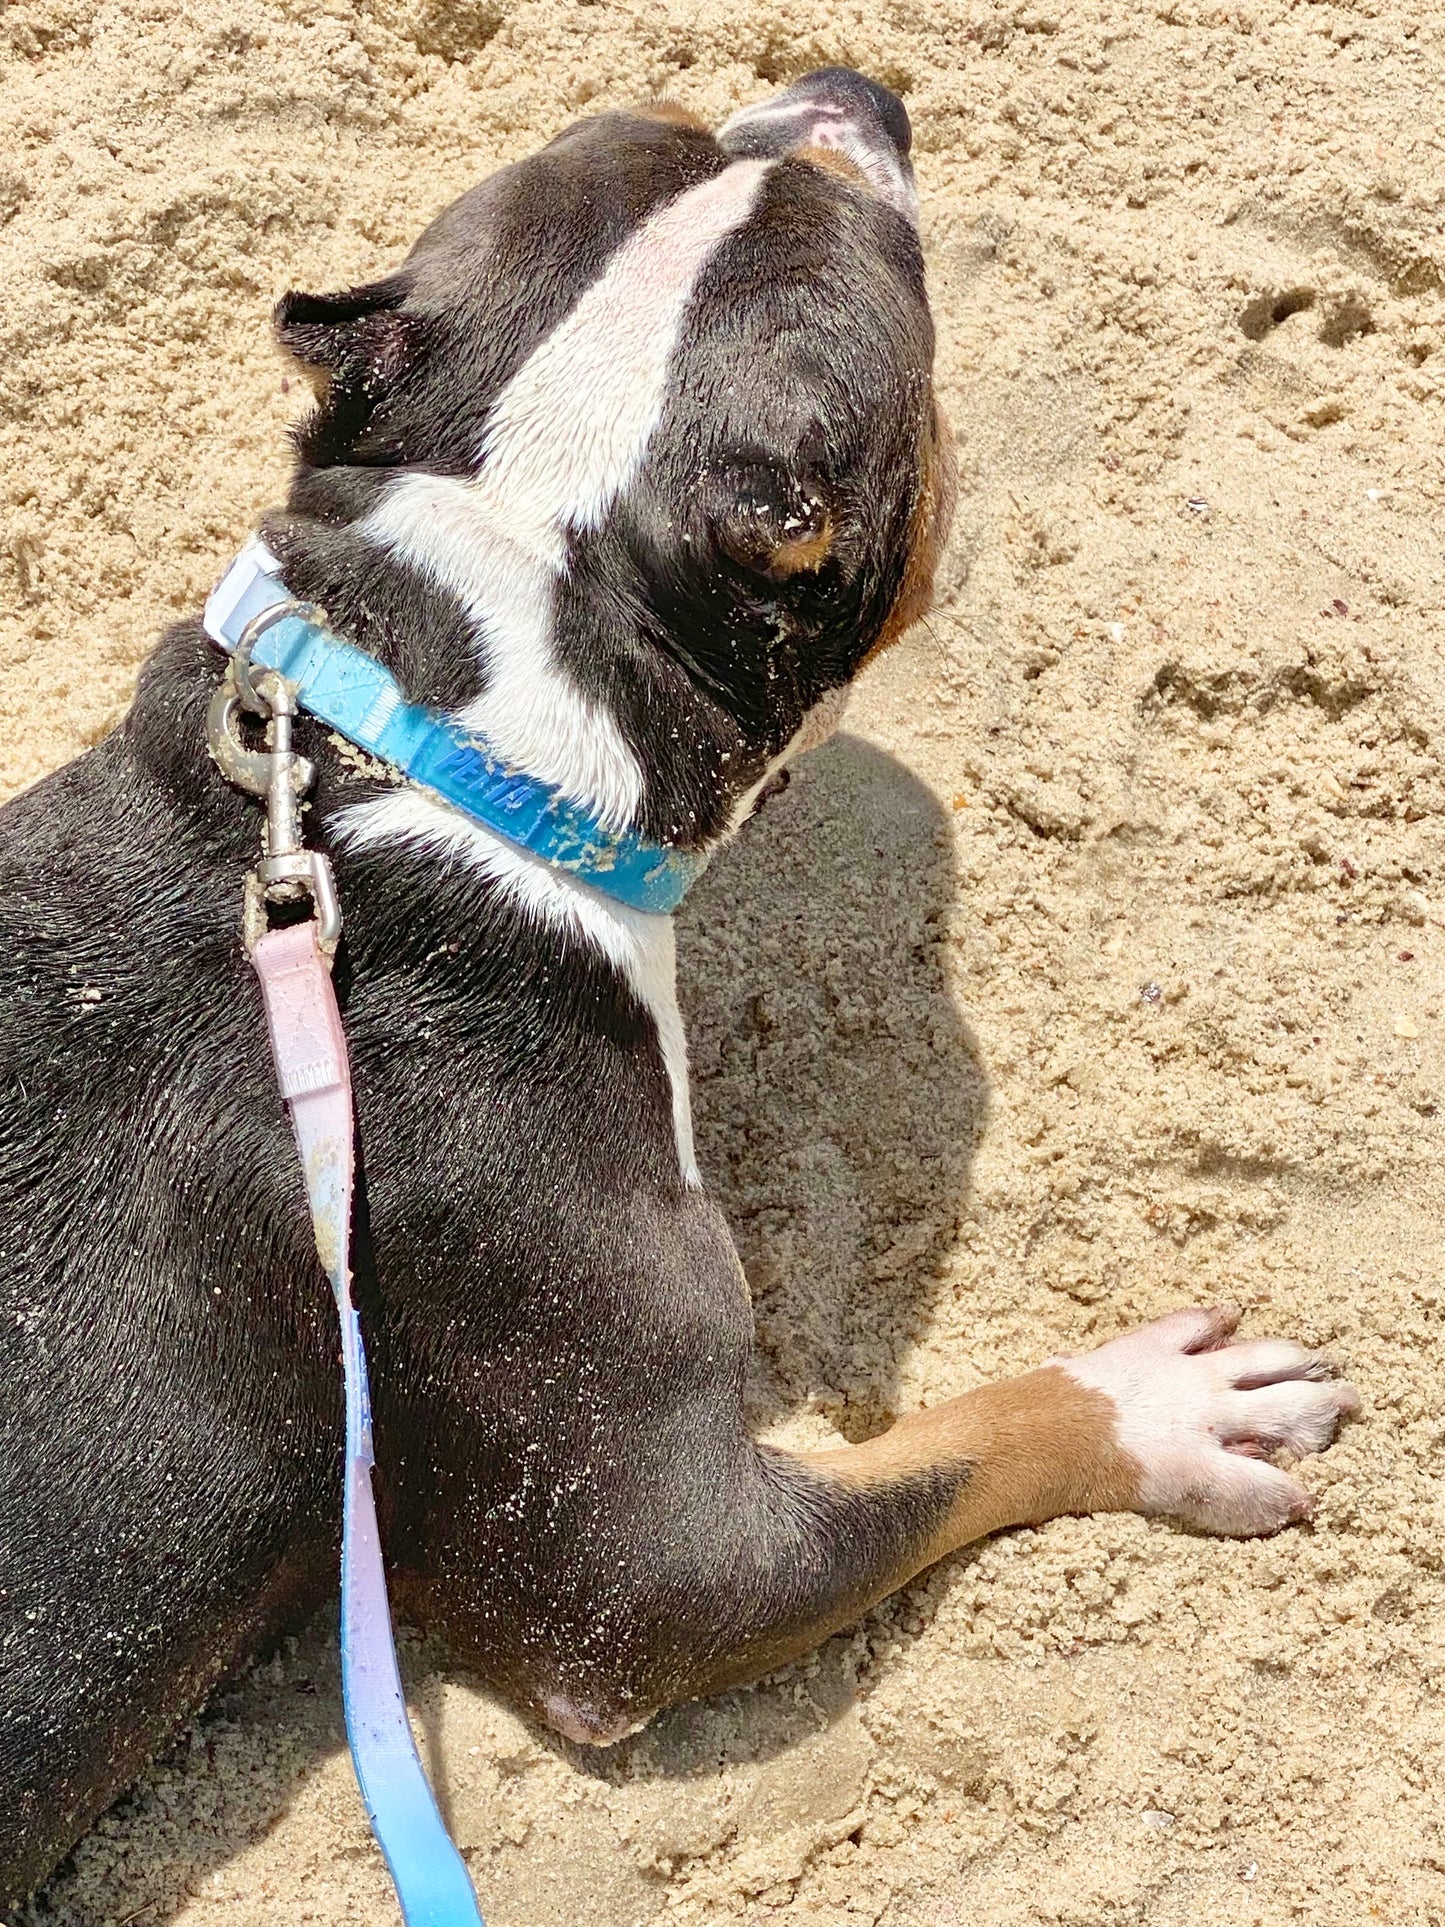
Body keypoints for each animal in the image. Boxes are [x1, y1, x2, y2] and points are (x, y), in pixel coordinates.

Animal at [0, 67, 1364, 1903]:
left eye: (662, 111)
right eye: (910, 300)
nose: (843, 90)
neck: (441, 726)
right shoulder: (651, 1570)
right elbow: (958, 1446)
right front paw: (1153, 1404)